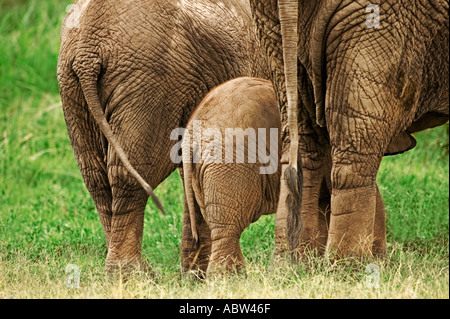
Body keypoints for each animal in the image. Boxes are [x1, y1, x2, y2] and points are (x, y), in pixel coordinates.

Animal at [56, 0, 268, 276]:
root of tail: (86, 51)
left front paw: (195, 276)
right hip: (149, 83)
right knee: (132, 171)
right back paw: (132, 273)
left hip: (73, 87)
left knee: (95, 178)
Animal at [250, 0, 450, 260]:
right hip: (382, 19)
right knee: (357, 144)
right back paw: (349, 264)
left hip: (270, 21)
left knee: (304, 142)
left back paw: (291, 262)